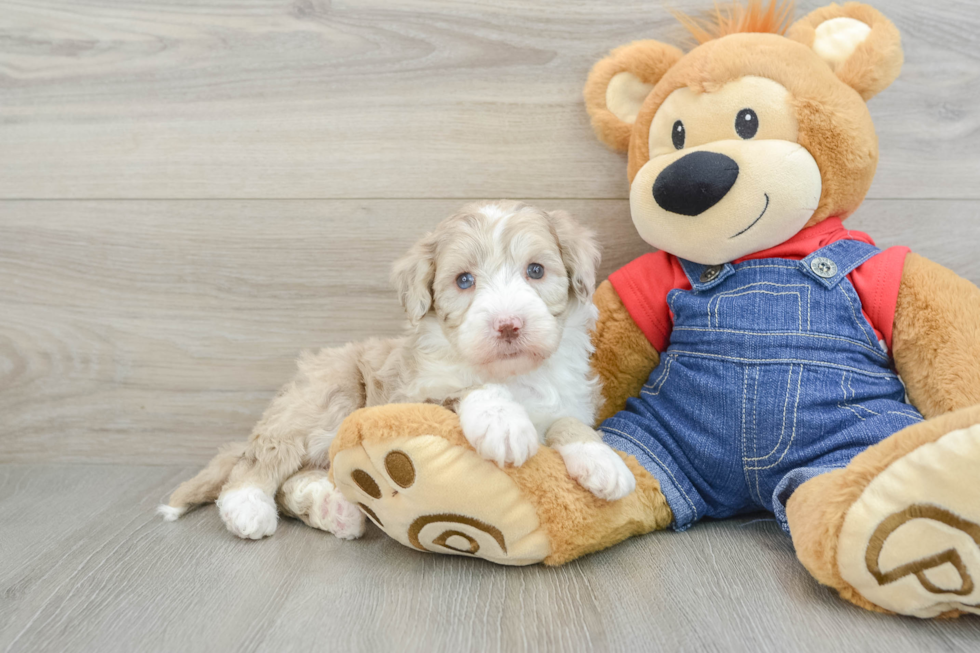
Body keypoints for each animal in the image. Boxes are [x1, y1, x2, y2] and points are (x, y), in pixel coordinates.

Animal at [161, 201, 636, 536]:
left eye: (536, 270)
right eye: (464, 281)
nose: (508, 325)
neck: (513, 375)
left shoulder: (570, 399)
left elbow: (568, 423)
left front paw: (602, 460)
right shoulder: (413, 397)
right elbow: (467, 390)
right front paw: (503, 422)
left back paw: (331, 507)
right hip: (326, 396)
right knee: (261, 461)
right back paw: (247, 506)